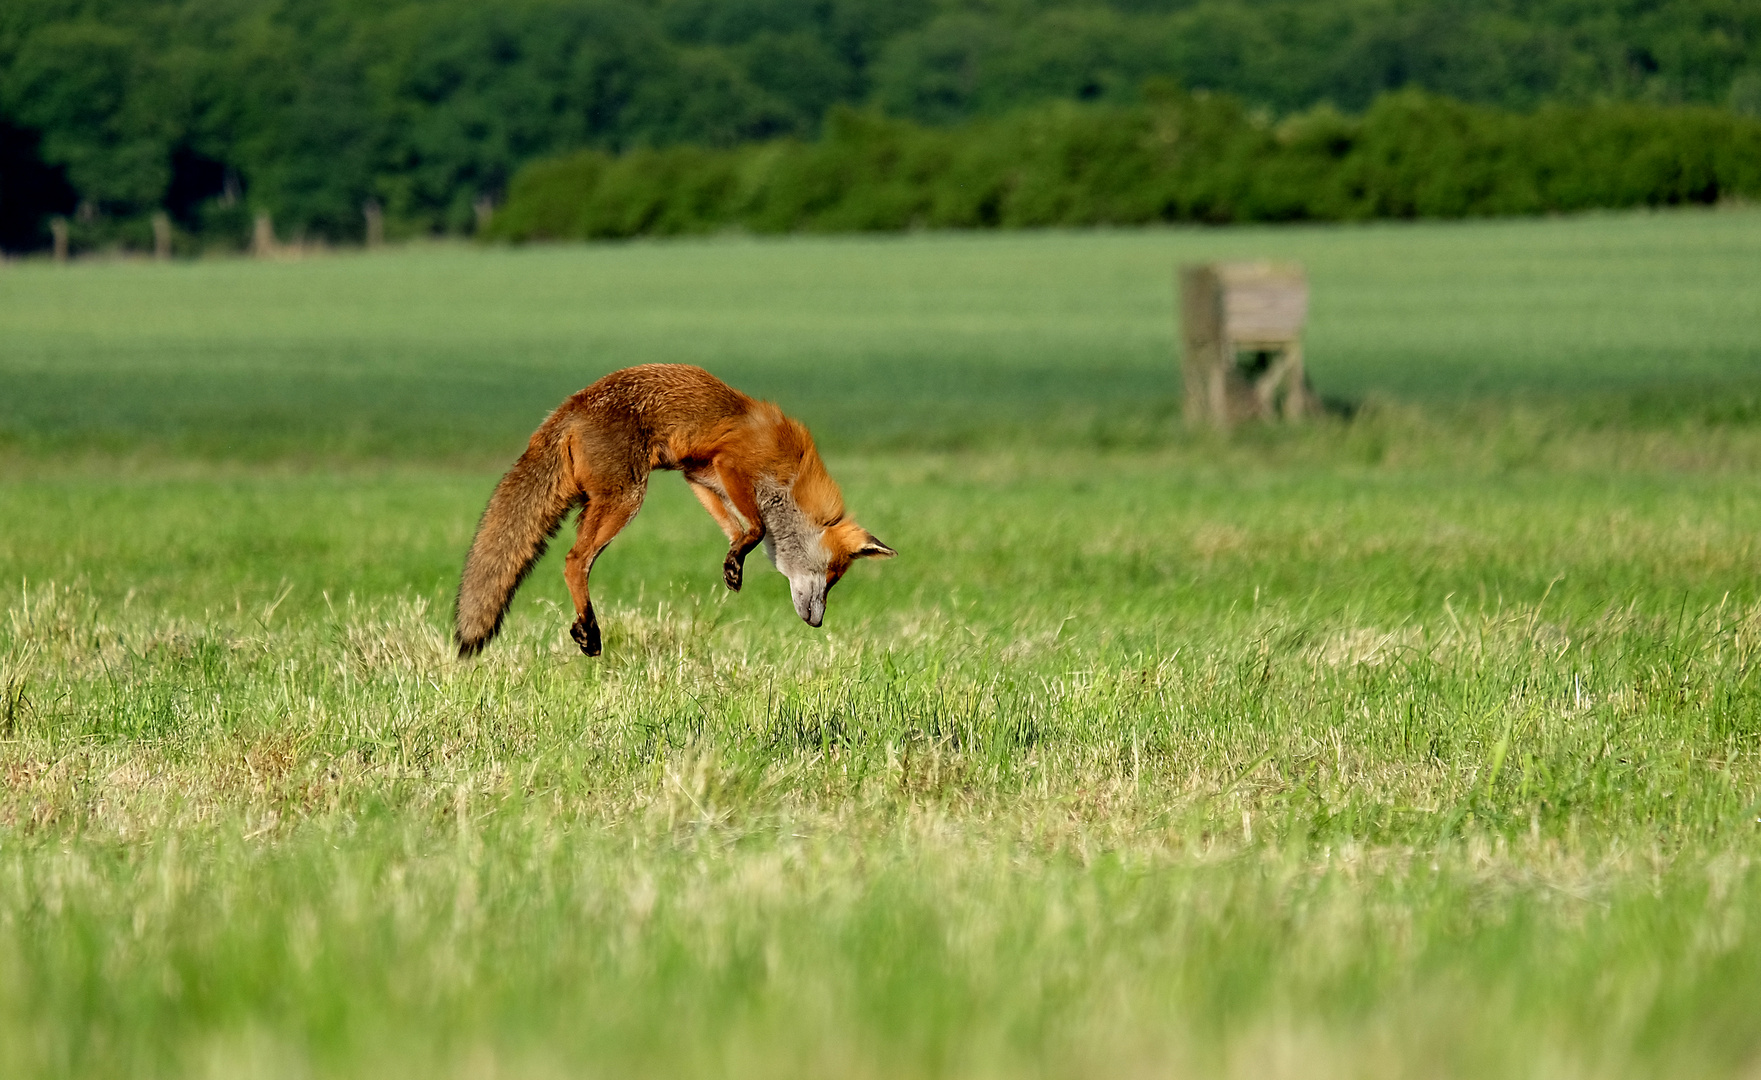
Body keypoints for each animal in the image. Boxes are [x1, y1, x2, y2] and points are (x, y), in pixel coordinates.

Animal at [454, 364, 894, 655]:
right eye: (832, 576)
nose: (819, 621)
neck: (794, 471)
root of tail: (569, 407)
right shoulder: (731, 465)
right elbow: (753, 525)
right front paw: (739, 558)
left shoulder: (699, 472)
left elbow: (736, 527)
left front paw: (733, 563)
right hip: (626, 499)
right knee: (575, 560)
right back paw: (591, 630)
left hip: (602, 502)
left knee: (577, 559)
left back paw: (583, 628)